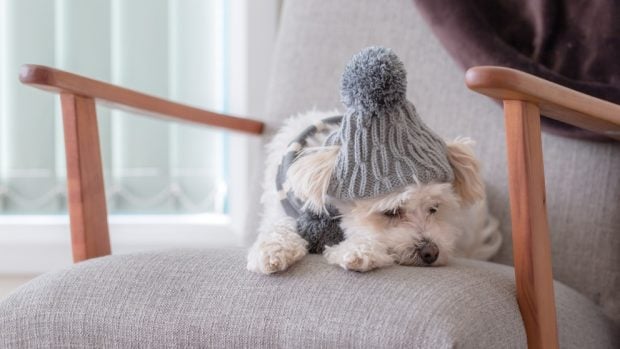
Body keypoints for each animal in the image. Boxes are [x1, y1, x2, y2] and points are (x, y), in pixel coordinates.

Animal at [245, 47, 502, 274]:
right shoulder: (281, 209)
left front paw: (359, 251)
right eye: (391, 212)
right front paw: (272, 249)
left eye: (434, 208)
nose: (431, 252)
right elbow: (278, 226)